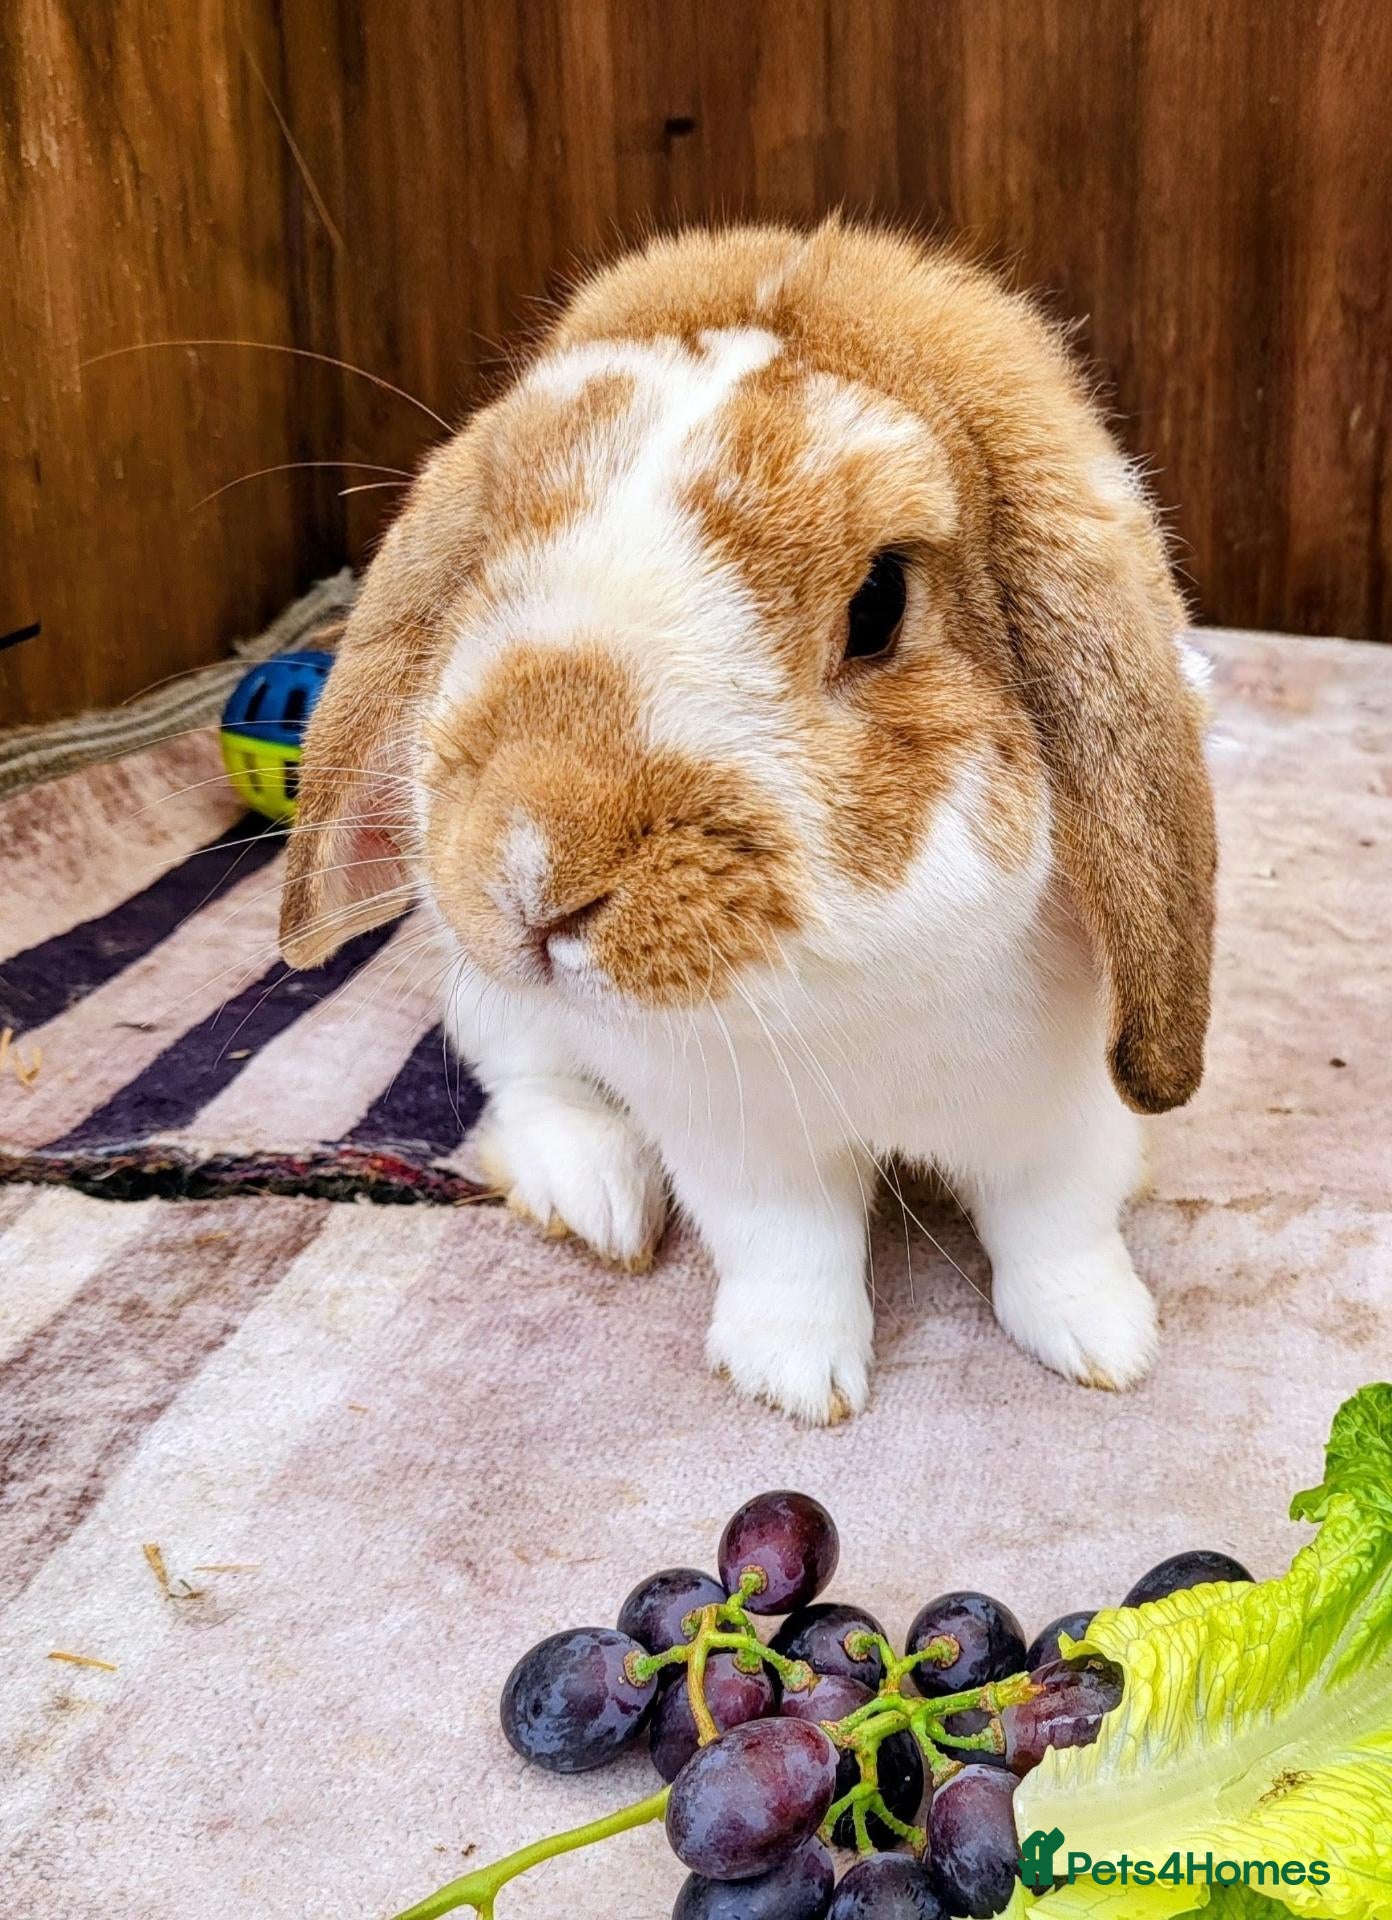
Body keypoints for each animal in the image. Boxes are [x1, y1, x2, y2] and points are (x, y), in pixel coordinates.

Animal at [280, 219, 1216, 1425]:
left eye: (879, 602)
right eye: (484, 555)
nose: (531, 871)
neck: (852, 992)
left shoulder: (1059, 1119)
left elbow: (1058, 1230)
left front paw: (1103, 1344)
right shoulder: (741, 1143)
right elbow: (791, 1251)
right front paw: (795, 1380)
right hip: (486, 996)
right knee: (522, 1083)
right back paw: (596, 1194)